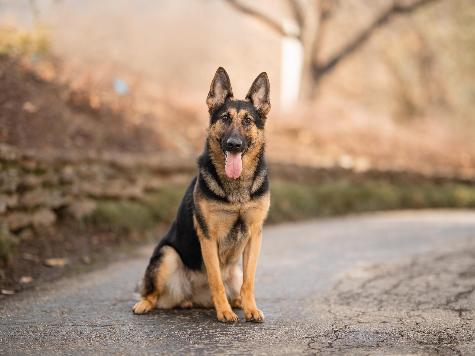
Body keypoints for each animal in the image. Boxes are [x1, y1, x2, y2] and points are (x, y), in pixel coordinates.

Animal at [132, 67, 272, 322]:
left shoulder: (254, 235)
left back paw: (237, 302)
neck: (236, 189)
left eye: (247, 121)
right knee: (152, 293)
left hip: (234, 273)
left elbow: (249, 280)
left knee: (236, 287)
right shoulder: (208, 236)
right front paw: (224, 312)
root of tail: (191, 296)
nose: (234, 144)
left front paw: (251, 309)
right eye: (225, 118)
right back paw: (144, 304)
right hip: (167, 256)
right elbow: (215, 279)